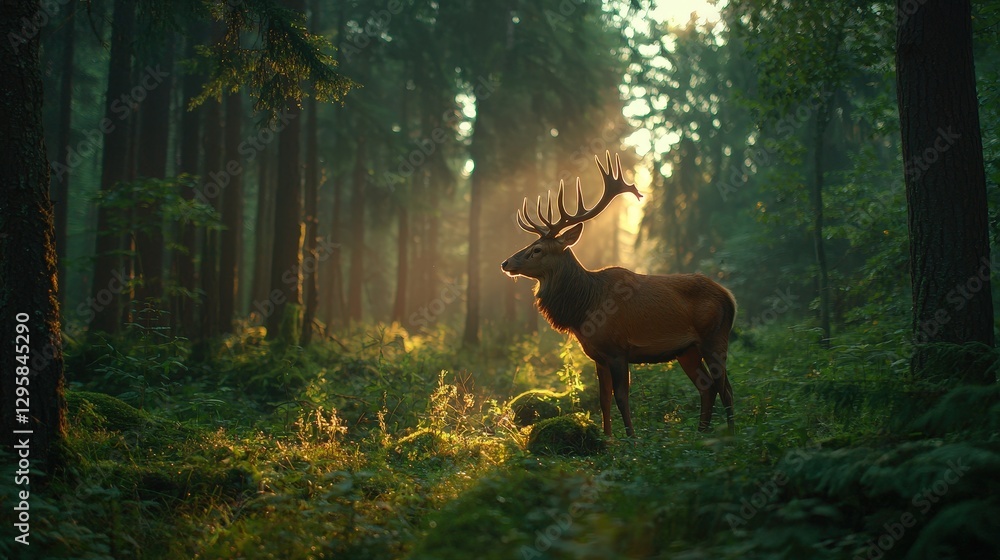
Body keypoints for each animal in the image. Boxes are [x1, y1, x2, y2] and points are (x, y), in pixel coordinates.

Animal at [500, 152, 737, 437]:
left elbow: (622, 397)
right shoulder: (598, 355)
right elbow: (603, 399)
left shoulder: (618, 349)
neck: (584, 308)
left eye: (537, 249)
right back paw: (702, 434)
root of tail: (730, 298)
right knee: (707, 386)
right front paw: (607, 438)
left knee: (726, 388)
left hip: (714, 336)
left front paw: (631, 439)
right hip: (687, 350)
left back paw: (732, 434)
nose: (505, 263)